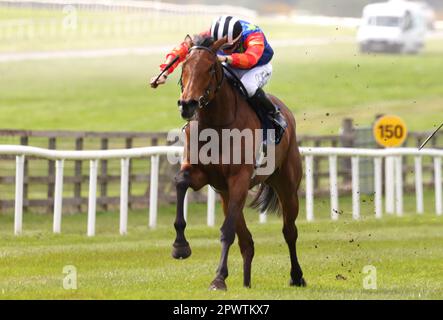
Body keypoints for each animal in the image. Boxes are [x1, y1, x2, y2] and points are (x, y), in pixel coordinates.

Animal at [170, 35, 306, 290]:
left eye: (210, 68)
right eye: (184, 67)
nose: (187, 104)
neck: (216, 125)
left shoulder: (239, 179)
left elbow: (227, 231)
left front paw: (218, 279)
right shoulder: (202, 174)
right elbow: (181, 181)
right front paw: (180, 246)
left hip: (286, 185)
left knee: (289, 231)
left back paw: (296, 276)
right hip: (225, 194)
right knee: (247, 242)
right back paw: (246, 282)